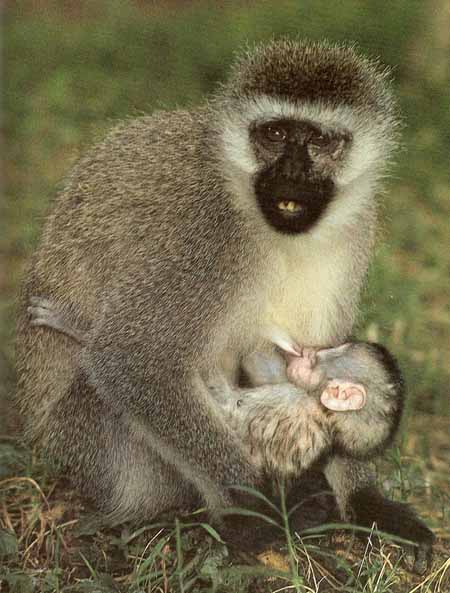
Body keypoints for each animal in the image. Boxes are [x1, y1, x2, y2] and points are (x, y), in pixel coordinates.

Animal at [15, 39, 434, 572]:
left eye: (319, 141)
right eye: (274, 134)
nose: (291, 171)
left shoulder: (354, 231)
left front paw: (364, 500)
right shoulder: (205, 233)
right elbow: (132, 359)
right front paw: (255, 510)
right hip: (82, 447)